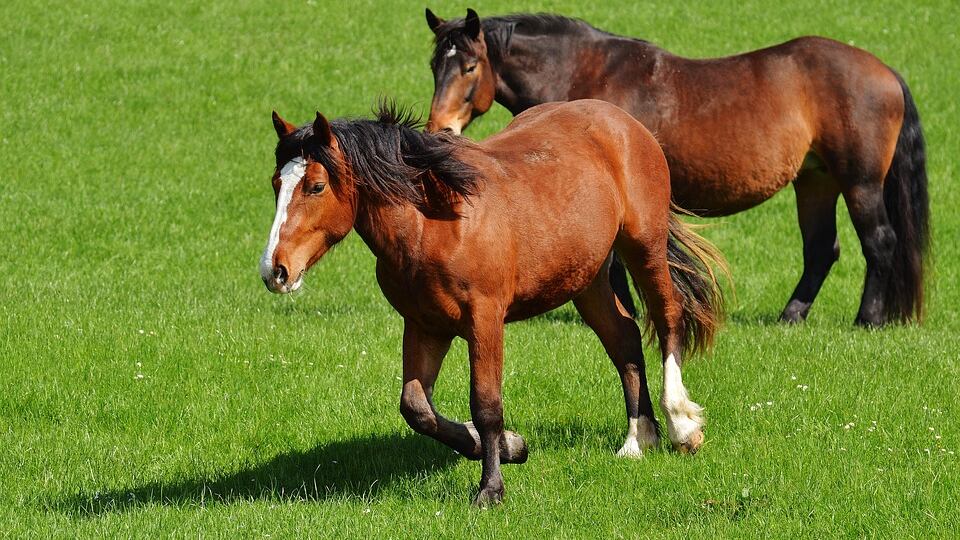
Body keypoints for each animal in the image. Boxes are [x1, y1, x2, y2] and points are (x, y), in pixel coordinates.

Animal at [260, 99, 725, 505]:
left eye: (316, 186)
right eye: (277, 184)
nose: (274, 271)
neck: (435, 222)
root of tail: (623, 122)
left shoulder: (484, 320)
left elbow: (485, 405)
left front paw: (491, 487)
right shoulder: (425, 325)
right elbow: (416, 408)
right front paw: (511, 445)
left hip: (644, 246)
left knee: (667, 319)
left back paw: (681, 426)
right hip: (586, 278)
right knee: (624, 338)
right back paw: (637, 438)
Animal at [424, 8, 929, 327]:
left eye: (469, 67)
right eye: (434, 66)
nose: (440, 128)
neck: (586, 77)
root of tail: (886, 72)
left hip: (860, 182)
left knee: (879, 242)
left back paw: (868, 319)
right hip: (815, 182)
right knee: (823, 249)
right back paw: (791, 317)